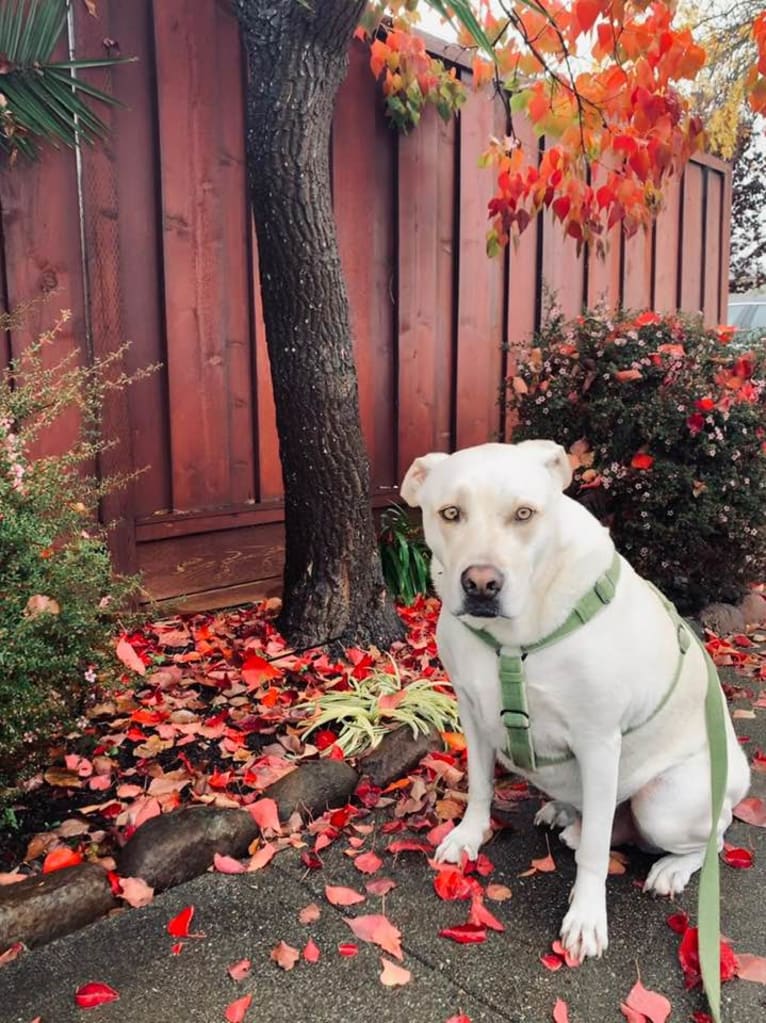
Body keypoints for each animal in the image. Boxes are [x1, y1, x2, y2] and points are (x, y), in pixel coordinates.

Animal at [400, 439, 748, 957]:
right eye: (450, 513)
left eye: (524, 513)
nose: (481, 584)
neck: (513, 640)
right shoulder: (472, 713)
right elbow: (480, 785)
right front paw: (468, 836)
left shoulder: (599, 743)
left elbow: (596, 854)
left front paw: (585, 918)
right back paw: (564, 811)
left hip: (665, 802)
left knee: (712, 838)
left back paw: (670, 868)